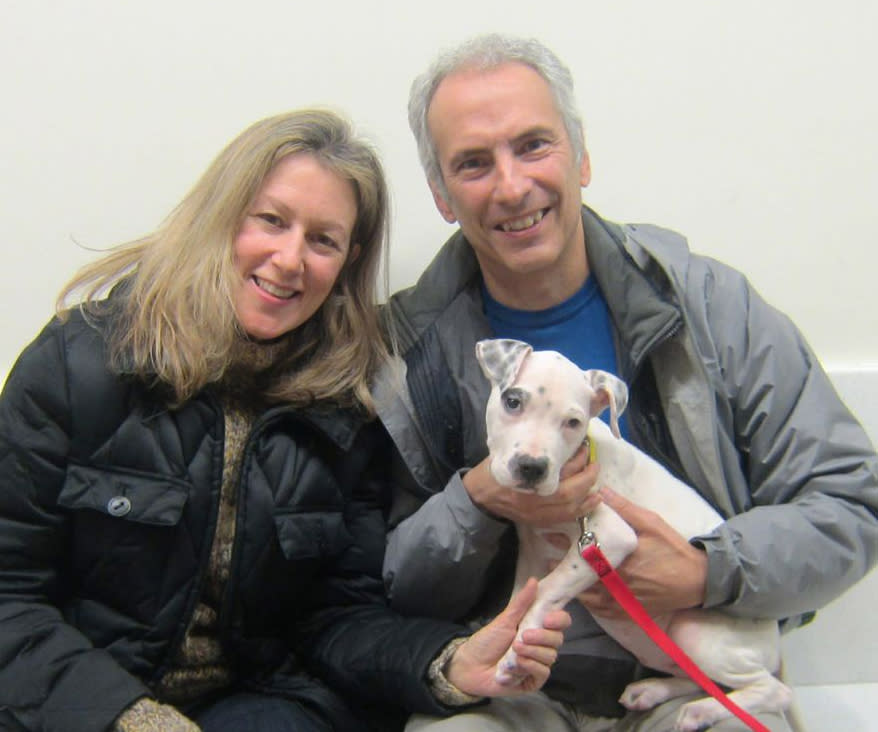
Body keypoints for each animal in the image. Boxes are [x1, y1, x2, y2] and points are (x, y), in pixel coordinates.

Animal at [478, 338, 796, 732]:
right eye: (513, 401)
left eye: (573, 422)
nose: (532, 468)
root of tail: (775, 644)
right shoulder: (534, 548)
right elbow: (522, 597)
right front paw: (507, 647)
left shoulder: (608, 536)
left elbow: (548, 590)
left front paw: (517, 650)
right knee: (697, 678)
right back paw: (652, 691)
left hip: (696, 635)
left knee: (773, 691)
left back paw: (701, 711)